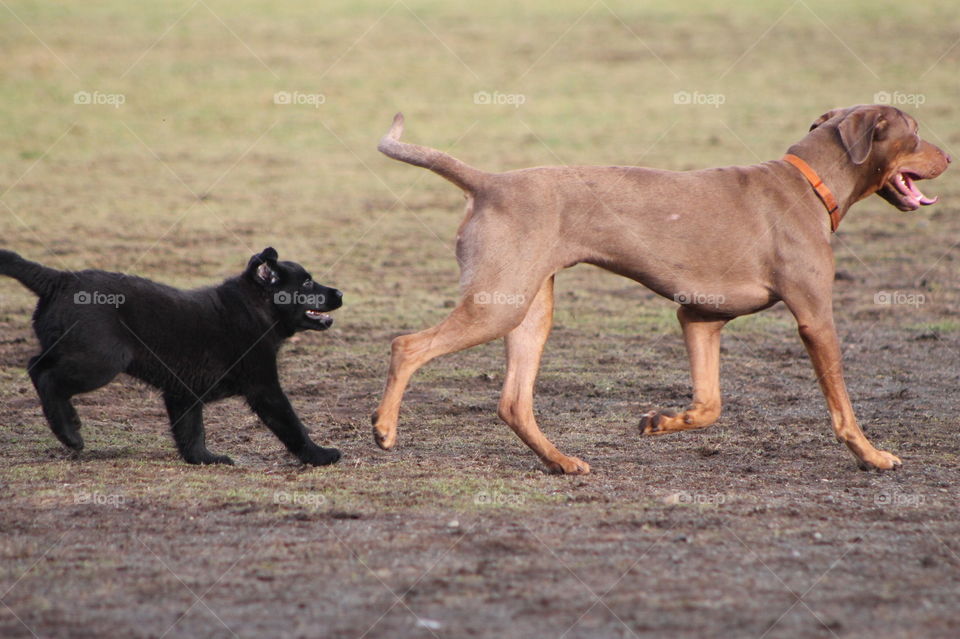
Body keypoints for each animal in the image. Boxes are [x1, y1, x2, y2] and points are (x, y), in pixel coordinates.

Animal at [0, 249, 344, 464]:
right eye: (307, 282)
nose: (340, 292)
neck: (254, 309)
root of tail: (59, 279)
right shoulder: (264, 387)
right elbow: (291, 425)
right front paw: (321, 456)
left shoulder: (183, 392)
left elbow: (191, 432)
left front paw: (205, 460)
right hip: (101, 361)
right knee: (45, 375)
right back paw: (70, 432)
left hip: (73, 351)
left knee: (36, 366)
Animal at [372, 106, 948, 476]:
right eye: (916, 132)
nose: (947, 157)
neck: (810, 182)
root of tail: (489, 182)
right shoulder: (814, 317)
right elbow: (842, 408)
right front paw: (872, 456)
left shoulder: (700, 319)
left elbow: (710, 404)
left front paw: (662, 420)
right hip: (498, 304)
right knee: (407, 346)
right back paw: (384, 429)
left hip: (529, 310)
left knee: (513, 402)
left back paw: (560, 461)